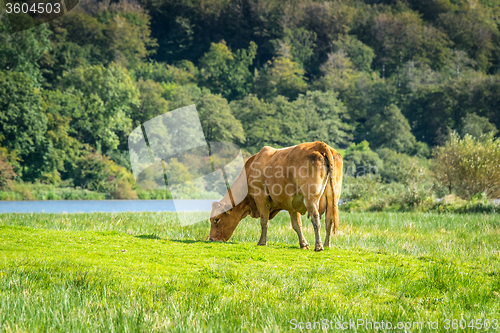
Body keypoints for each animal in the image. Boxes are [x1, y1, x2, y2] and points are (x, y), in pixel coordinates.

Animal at [208, 141, 344, 252]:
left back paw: (319, 246)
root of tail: (319, 144)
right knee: (329, 220)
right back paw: (326, 244)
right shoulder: (292, 203)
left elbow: (264, 221)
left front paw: (262, 242)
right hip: (332, 198)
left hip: (311, 197)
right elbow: (296, 225)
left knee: (316, 218)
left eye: (216, 219)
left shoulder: (260, 197)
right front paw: (303, 244)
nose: (211, 239)